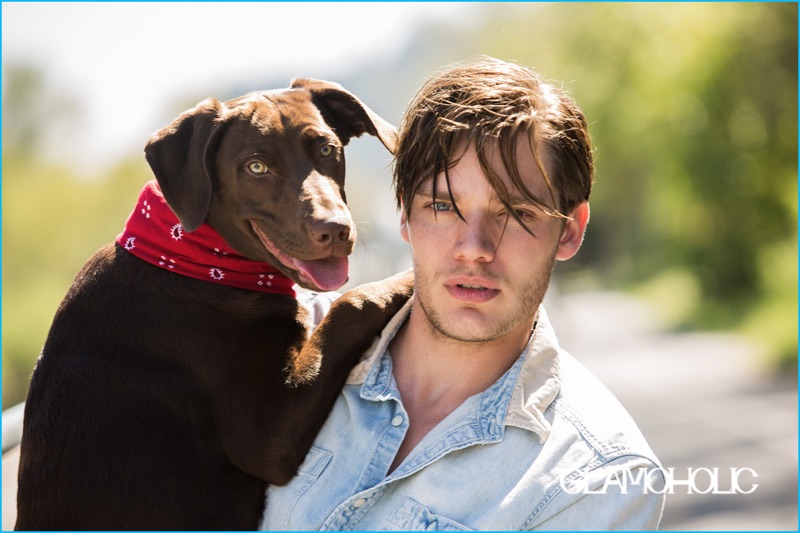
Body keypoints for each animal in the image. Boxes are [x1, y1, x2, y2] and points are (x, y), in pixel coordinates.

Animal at [14, 78, 396, 528]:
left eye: (325, 149)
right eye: (256, 167)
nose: (336, 230)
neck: (199, 259)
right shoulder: (267, 434)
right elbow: (352, 302)